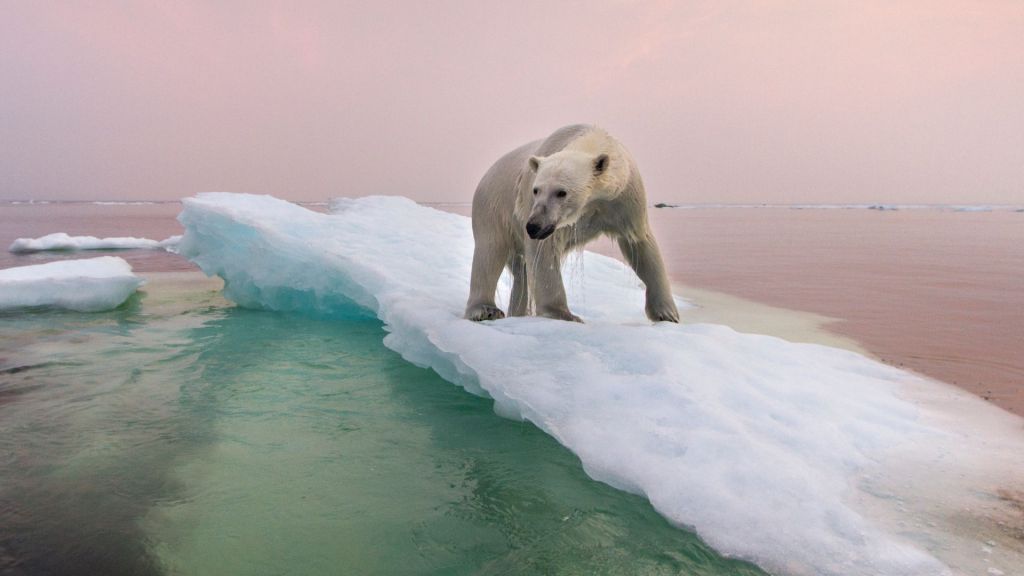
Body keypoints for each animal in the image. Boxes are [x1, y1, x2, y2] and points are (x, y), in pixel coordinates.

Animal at [466, 124, 679, 323]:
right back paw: (486, 310)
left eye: (561, 192)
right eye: (536, 190)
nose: (533, 226)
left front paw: (667, 314)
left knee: (520, 272)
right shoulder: (533, 207)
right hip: (492, 207)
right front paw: (563, 314)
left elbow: (640, 244)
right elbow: (544, 253)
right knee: (489, 252)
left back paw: (517, 312)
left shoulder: (624, 198)